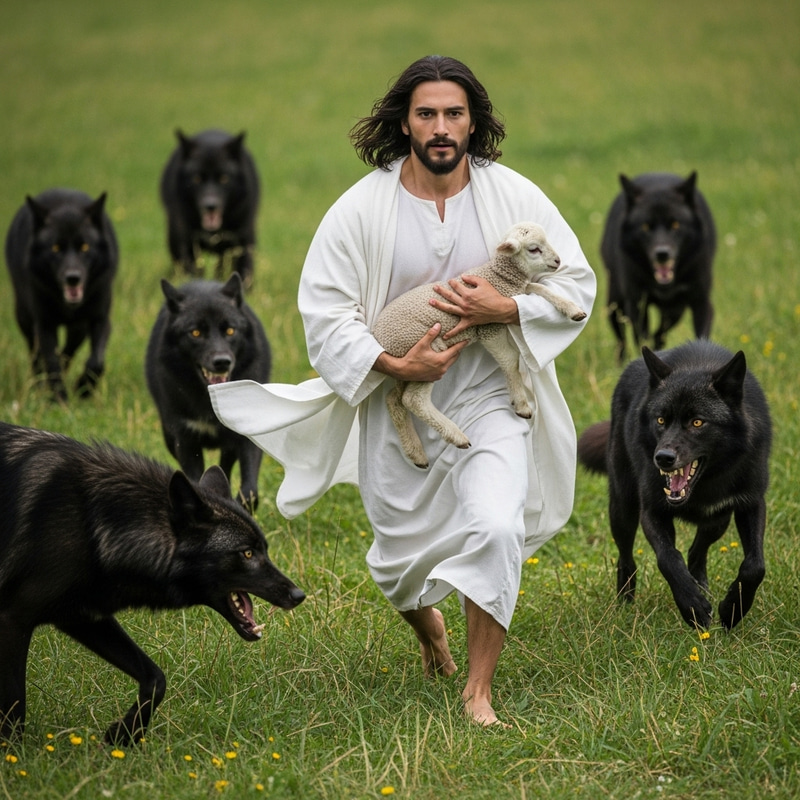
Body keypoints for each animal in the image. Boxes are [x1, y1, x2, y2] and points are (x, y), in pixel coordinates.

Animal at [371, 221, 587, 468]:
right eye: (534, 249)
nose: (558, 261)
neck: (500, 278)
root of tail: (378, 338)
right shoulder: (488, 327)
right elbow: (511, 360)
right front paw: (521, 404)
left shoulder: (510, 297)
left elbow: (537, 288)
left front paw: (572, 309)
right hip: (425, 351)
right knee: (413, 400)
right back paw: (456, 436)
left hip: (405, 362)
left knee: (394, 400)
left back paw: (416, 453)